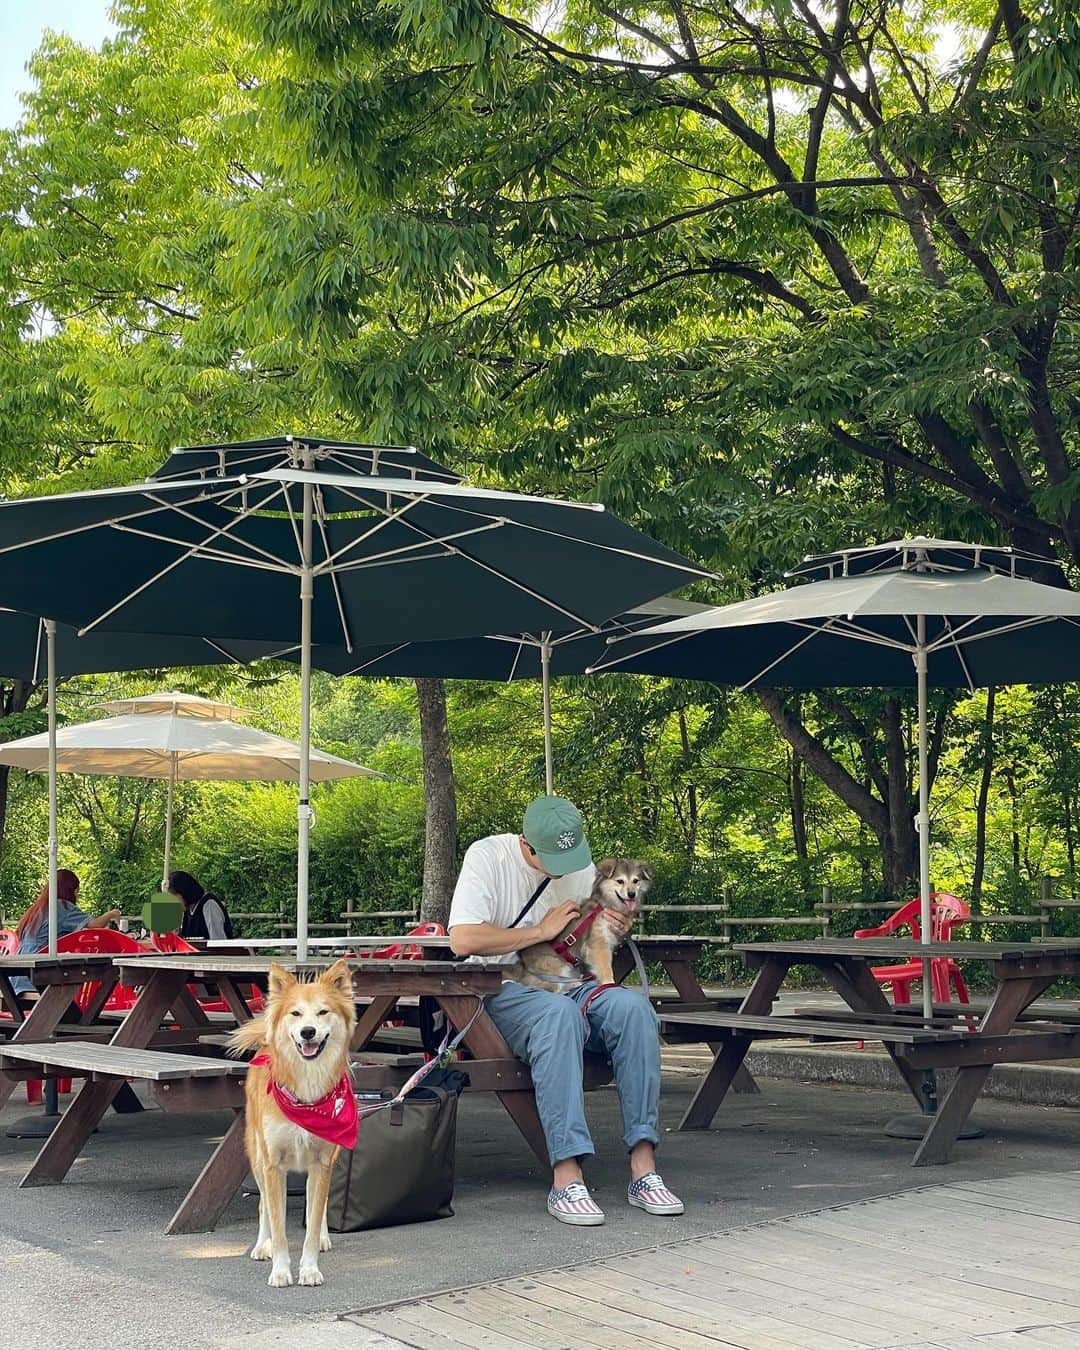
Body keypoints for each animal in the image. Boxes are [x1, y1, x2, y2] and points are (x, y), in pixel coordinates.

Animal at [229, 961, 356, 1285]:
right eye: (295, 1013)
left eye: (323, 1012)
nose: (307, 1032)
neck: (306, 1093)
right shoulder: (273, 1164)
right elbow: (278, 1226)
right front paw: (280, 1269)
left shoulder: (322, 1163)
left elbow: (313, 1217)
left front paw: (309, 1269)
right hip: (257, 1156)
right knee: (263, 1204)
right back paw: (262, 1245)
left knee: (317, 1208)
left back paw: (322, 1237)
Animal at [510, 864, 653, 993]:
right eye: (620, 881)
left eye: (636, 881)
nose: (632, 894)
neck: (607, 905)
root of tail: (523, 966)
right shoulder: (598, 942)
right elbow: (605, 966)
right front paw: (609, 983)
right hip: (556, 968)